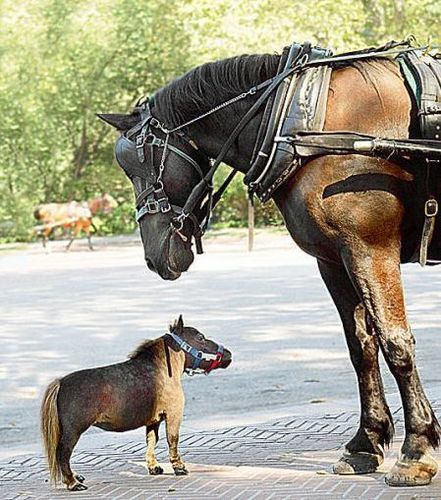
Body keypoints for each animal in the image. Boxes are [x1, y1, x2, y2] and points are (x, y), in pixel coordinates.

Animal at [100, 48, 440, 486]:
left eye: (140, 166)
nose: (154, 256)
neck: (307, 126)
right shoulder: (335, 259)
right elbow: (361, 348)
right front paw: (366, 442)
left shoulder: (369, 249)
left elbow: (395, 344)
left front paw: (416, 448)